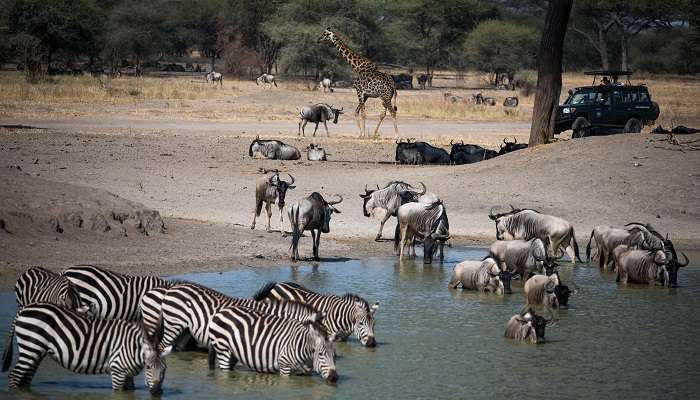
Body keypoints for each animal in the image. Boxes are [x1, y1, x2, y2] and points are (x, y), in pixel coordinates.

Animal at [2, 304, 171, 394]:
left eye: (164, 369)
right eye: (148, 367)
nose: (157, 393)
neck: (132, 347)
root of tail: (24, 309)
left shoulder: (127, 374)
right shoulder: (118, 371)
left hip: (36, 351)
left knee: (25, 378)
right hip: (30, 347)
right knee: (14, 376)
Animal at [206, 306, 338, 382]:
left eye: (333, 355)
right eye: (320, 354)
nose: (334, 377)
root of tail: (222, 311)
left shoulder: (305, 373)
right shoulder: (284, 366)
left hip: (234, 352)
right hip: (222, 349)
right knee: (224, 370)